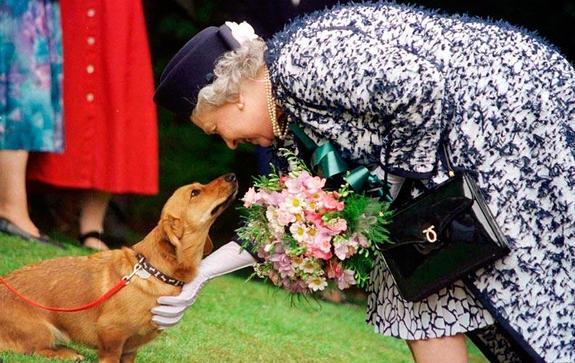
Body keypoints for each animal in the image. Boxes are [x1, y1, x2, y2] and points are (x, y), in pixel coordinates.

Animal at [0, 175, 237, 362]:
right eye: (195, 192)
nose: (232, 176)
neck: (154, 270)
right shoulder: (111, 336)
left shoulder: (130, 350)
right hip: (43, 331)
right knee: (37, 350)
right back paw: (67, 353)